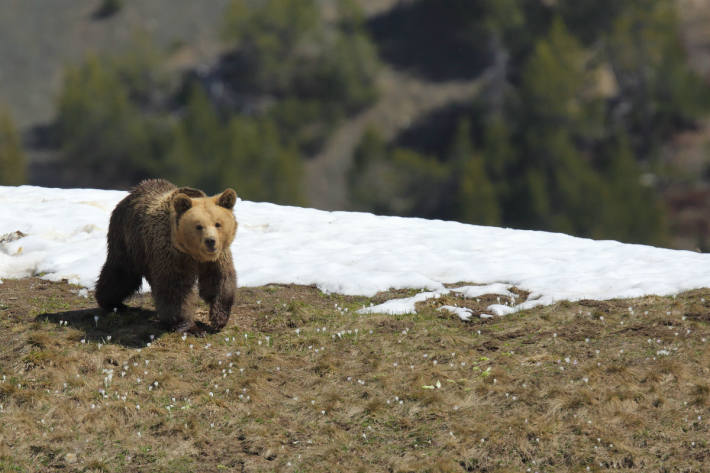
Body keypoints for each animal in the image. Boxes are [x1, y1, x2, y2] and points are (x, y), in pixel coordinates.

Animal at [94, 178, 241, 332]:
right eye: (199, 226)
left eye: (218, 224)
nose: (210, 241)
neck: (193, 253)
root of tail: (131, 193)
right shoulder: (171, 254)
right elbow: (175, 287)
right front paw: (188, 325)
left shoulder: (216, 258)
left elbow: (219, 280)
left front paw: (219, 317)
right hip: (127, 240)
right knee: (122, 274)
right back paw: (112, 303)